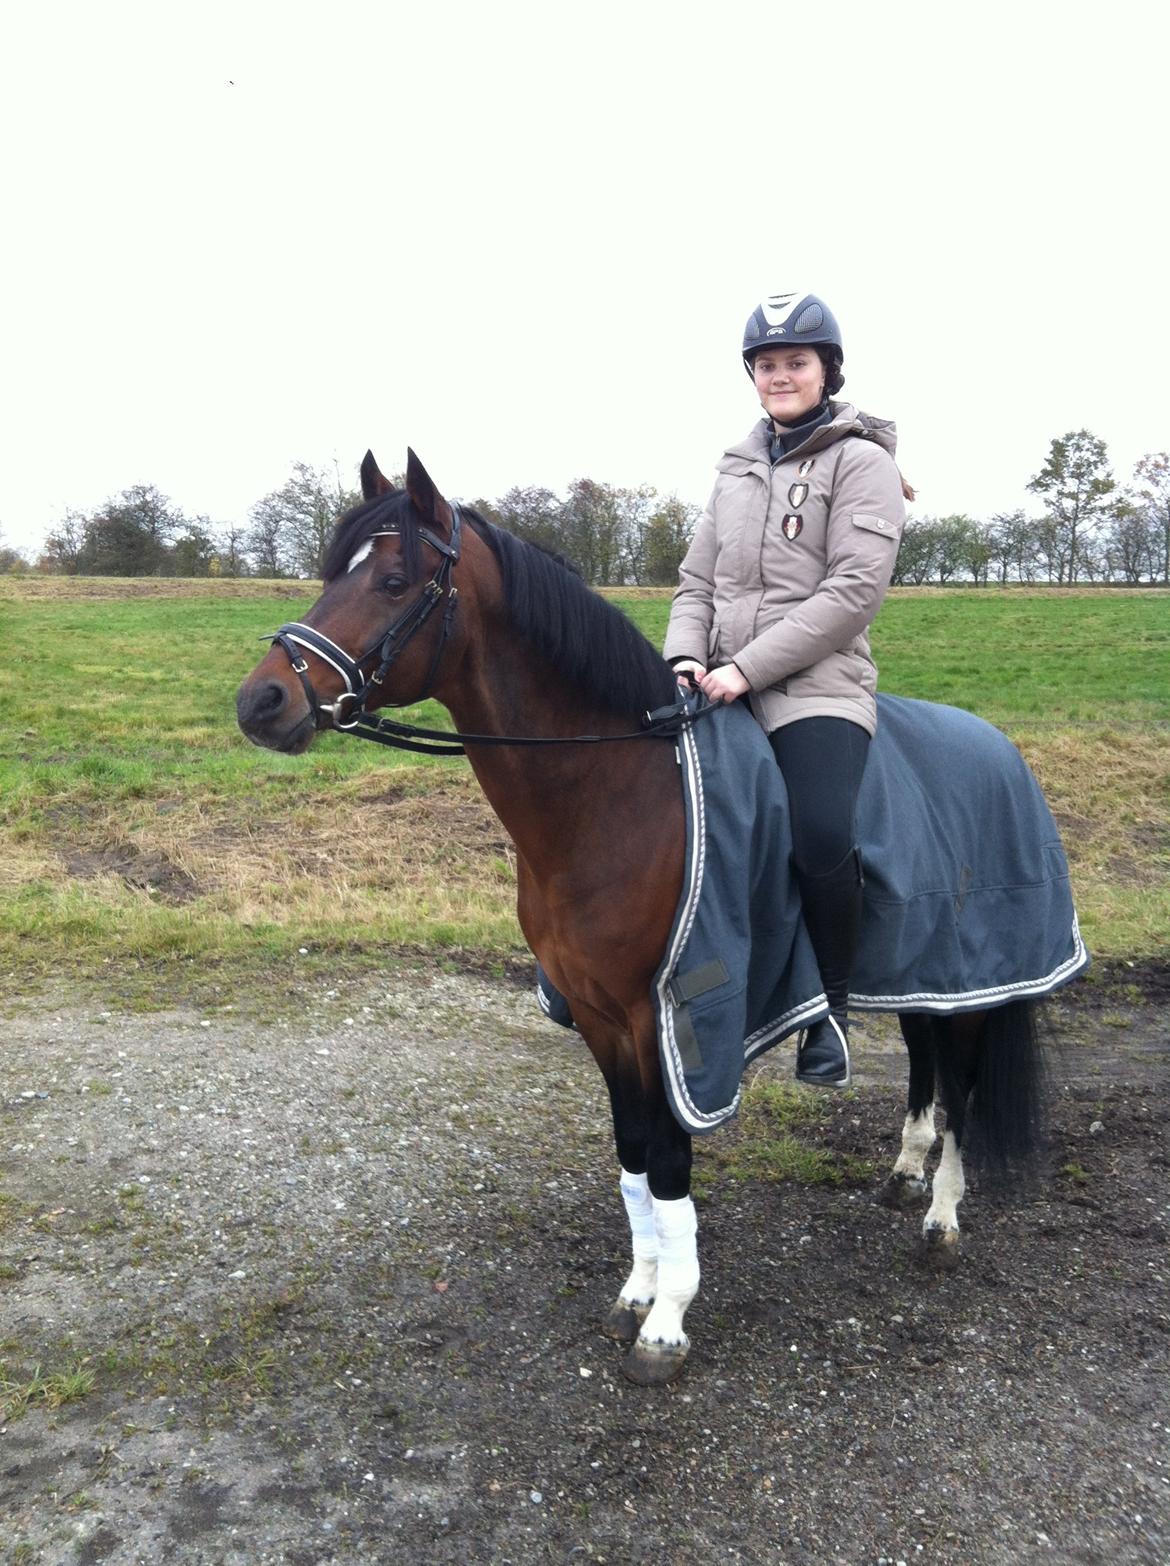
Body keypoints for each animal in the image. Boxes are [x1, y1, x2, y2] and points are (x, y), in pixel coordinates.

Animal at [236, 449, 1051, 1386]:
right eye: (334, 572)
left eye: (395, 581)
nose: (260, 703)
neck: (615, 794)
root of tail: (998, 746)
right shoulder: (598, 1017)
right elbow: (631, 1153)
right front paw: (638, 1288)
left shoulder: (668, 1018)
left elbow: (668, 1158)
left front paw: (668, 1322)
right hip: (926, 967)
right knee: (925, 1057)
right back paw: (906, 1170)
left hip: (976, 979)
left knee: (963, 1085)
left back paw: (942, 1216)